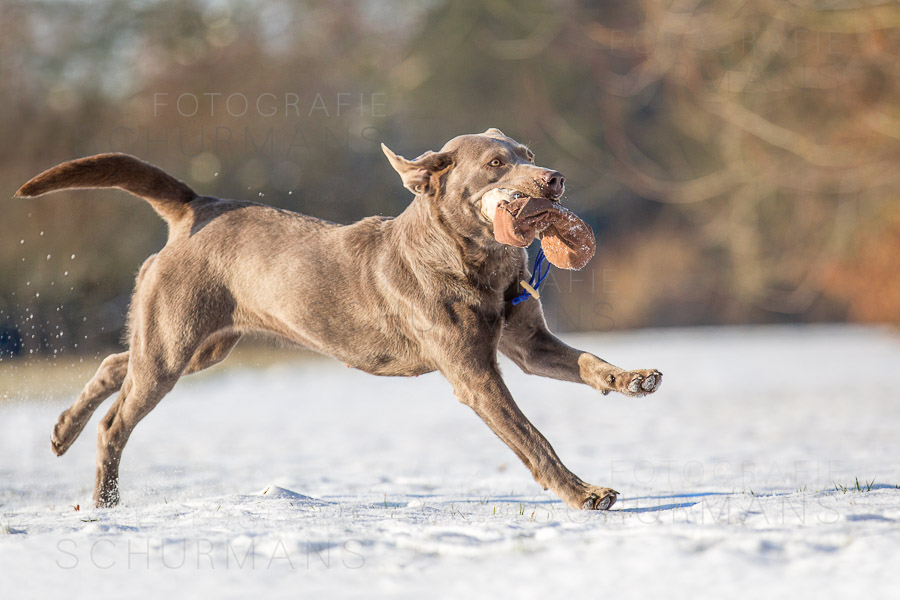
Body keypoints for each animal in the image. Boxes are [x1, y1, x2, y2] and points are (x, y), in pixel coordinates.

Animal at [15, 128, 661, 510]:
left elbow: (587, 361)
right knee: (117, 421)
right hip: (175, 346)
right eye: (498, 163)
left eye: (530, 156)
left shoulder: (528, 344)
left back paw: (62, 430)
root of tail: (197, 206)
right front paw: (585, 493)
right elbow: (533, 438)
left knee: (114, 360)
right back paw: (102, 501)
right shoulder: (474, 375)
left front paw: (633, 379)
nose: (554, 179)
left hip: (199, 344)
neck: (475, 260)